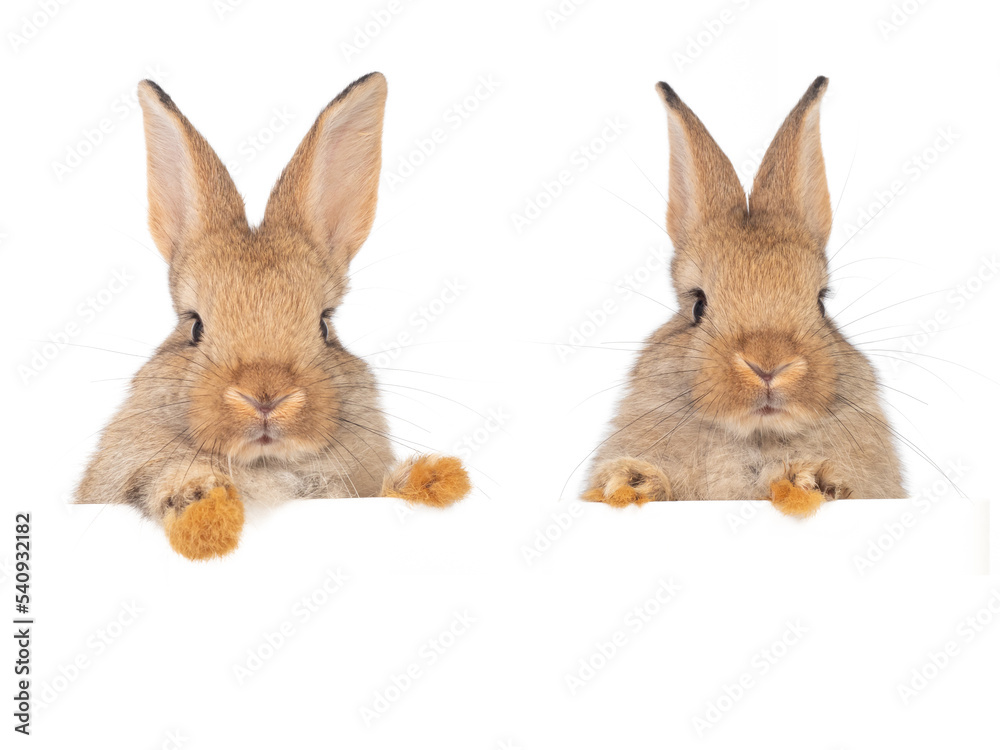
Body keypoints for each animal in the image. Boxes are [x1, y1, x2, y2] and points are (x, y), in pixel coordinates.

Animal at [75, 73, 471, 559]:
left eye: (324, 324)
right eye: (195, 326)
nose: (266, 397)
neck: (268, 463)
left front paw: (437, 478)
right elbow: (169, 482)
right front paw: (207, 518)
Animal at [582, 77, 904, 517]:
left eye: (821, 302)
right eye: (698, 304)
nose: (768, 365)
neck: (756, 436)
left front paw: (809, 480)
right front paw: (631, 483)